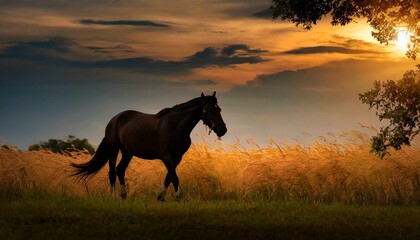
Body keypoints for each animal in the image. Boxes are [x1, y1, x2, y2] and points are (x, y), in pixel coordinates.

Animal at [73, 92, 228, 201]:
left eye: (219, 109)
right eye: (208, 110)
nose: (222, 130)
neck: (175, 126)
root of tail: (114, 119)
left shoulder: (177, 157)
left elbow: (169, 176)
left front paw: (161, 197)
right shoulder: (167, 156)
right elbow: (174, 177)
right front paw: (180, 197)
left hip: (127, 152)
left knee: (120, 170)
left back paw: (124, 196)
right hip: (114, 149)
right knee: (112, 172)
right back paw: (114, 197)